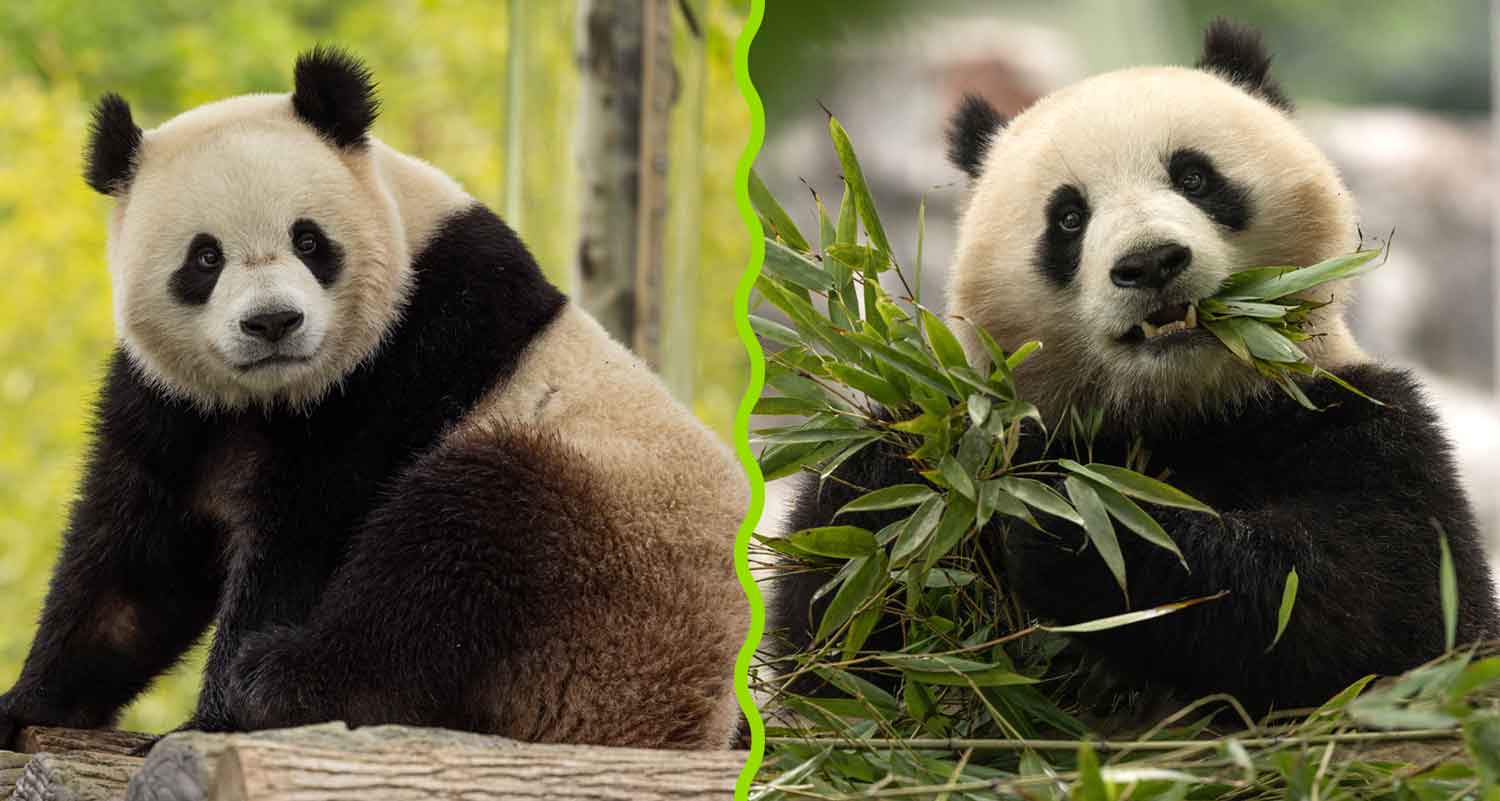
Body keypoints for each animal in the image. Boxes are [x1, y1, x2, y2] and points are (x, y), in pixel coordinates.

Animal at [0, 48, 750, 753]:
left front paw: (212, 721)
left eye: (308, 239)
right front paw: (29, 704)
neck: (271, 396)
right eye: (205, 258)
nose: (273, 322)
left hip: (612, 565)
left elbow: (309, 536)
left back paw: (282, 678)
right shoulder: (176, 404)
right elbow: (134, 567)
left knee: (458, 544)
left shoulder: (407, 355)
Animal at [774, 18, 1500, 714]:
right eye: (1068, 218)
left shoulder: (1356, 416)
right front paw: (908, 468)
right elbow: (837, 644)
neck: (1180, 409)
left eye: (1195, 177)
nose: (1150, 262)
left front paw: (1078, 526)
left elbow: (1379, 600)